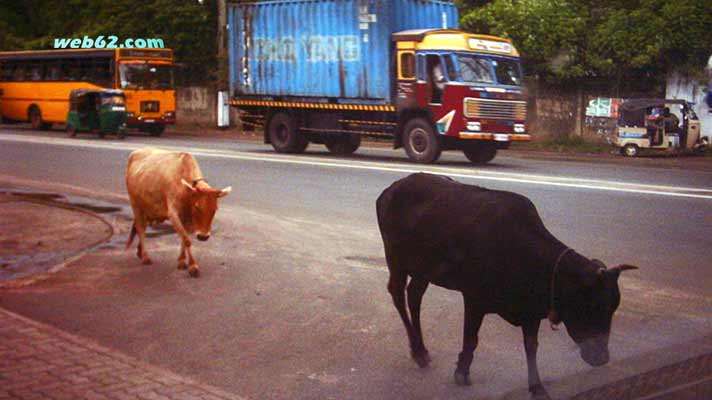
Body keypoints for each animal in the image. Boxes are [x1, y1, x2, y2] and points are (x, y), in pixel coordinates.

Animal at [125, 148, 231, 276]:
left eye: (215, 209)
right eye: (197, 207)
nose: (203, 236)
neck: (186, 192)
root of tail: (135, 152)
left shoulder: (188, 219)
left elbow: (184, 238)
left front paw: (182, 261)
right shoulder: (173, 214)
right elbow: (187, 240)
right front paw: (193, 266)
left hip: (147, 208)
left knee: (140, 226)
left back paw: (140, 252)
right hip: (135, 204)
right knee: (141, 228)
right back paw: (145, 256)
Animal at [376, 173, 636, 400]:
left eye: (613, 308)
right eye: (590, 305)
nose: (602, 358)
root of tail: (393, 188)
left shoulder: (530, 313)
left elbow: (531, 347)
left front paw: (537, 387)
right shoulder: (474, 299)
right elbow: (471, 339)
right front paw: (462, 372)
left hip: (424, 270)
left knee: (414, 295)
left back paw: (421, 349)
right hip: (396, 260)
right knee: (398, 294)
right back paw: (418, 351)